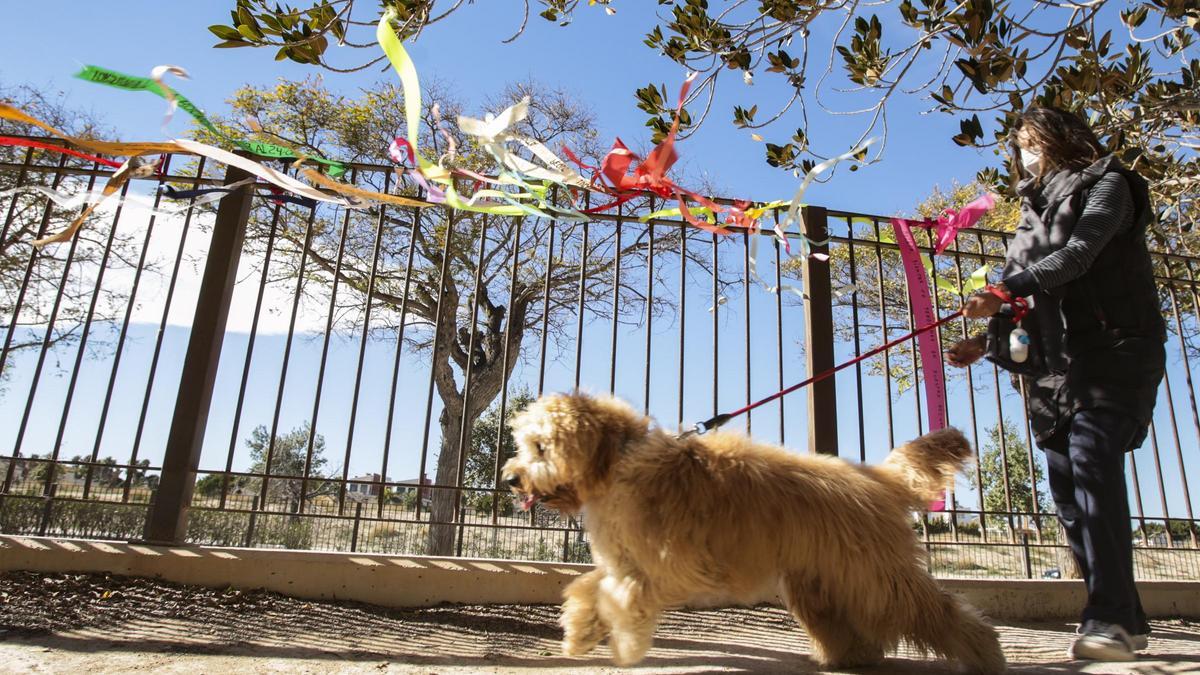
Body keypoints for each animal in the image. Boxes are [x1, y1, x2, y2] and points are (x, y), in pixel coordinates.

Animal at [501, 391, 1008, 667]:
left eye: (541, 447)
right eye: (525, 445)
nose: (510, 479)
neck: (619, 462)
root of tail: (877, 478)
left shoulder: (670, 567)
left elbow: (616, 594)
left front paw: (621, 644)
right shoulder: (631, 562)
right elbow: (592, 587)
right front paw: (579, 631)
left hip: (877, 581)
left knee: (940, 612)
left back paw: (985, 653)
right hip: (820, 582)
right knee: (848, 627)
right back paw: (847, 657)